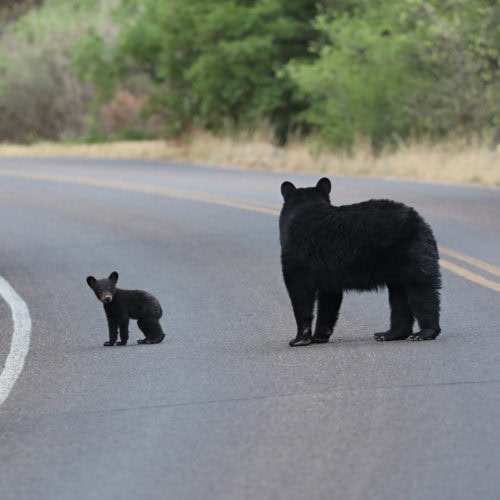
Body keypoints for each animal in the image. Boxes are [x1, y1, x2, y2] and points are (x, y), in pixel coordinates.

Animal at [282, 178, 442, 346]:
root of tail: (421, 222)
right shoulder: (328, 272)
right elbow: (329, 299)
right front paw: (320, 335)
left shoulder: (297, 256)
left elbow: (300, 292)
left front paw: (299, 339)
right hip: (397, 265)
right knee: (399, 297)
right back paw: (389, 334)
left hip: (411, 253)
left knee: (421, 290)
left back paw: (424, 332)